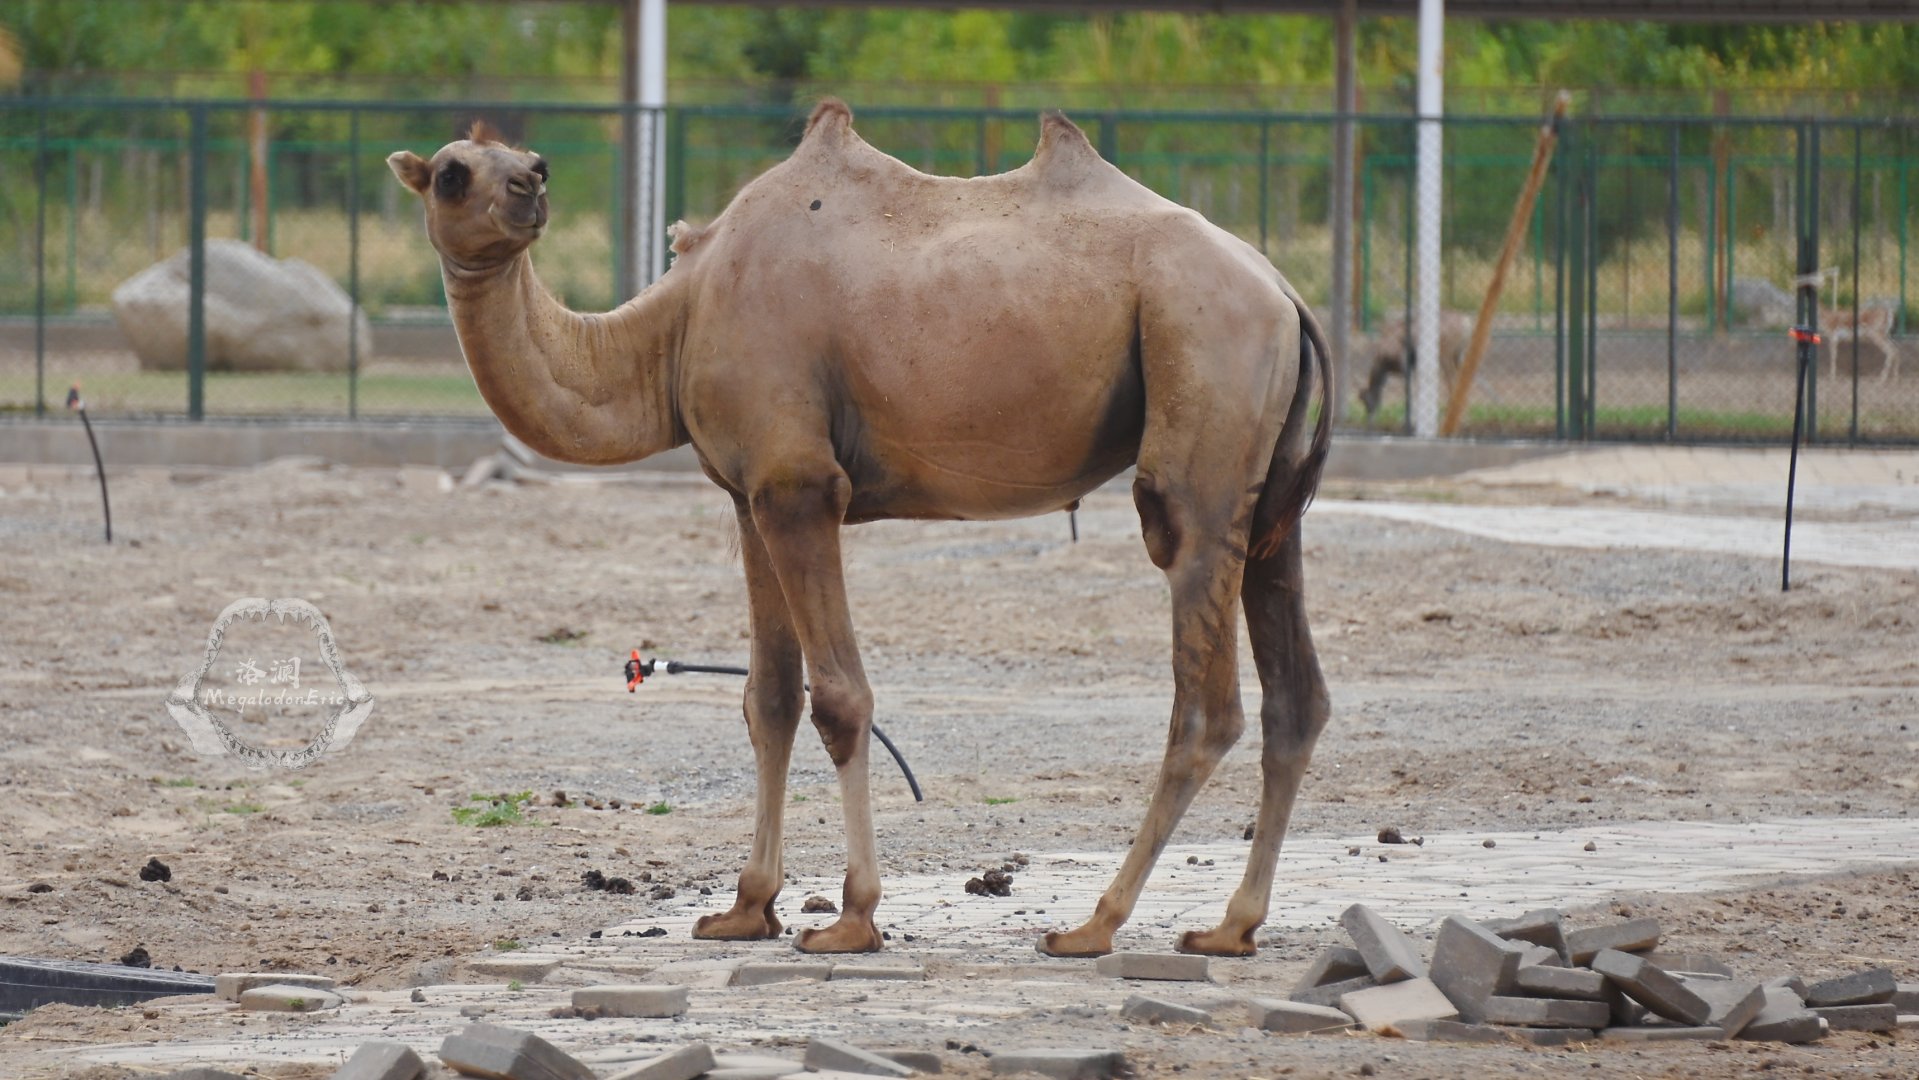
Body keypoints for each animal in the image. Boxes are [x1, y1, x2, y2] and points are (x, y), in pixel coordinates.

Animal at [388, 102, 1331, 958]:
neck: (675, 322)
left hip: (1201, 392)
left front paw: (851, 918)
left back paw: (1093, 925)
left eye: (532, 160)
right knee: (1295, 695)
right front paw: (744, 909)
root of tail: (1286, 294)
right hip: (1267, 494)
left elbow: (839, 698)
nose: (529, 189)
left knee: (1203, 693)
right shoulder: (749, 495)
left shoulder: (801, 486)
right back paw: (1230, 927)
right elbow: (766, 698)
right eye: (453, 172)